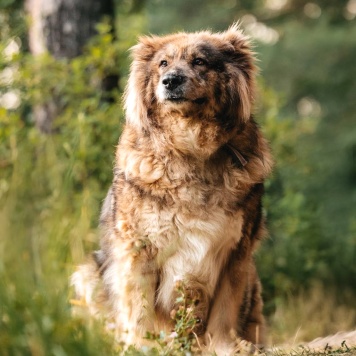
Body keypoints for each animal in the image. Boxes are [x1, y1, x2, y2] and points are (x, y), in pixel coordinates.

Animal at [71, 23, 272, 354]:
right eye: (163, 64)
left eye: (200, 61)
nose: (170, 81)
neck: (190, 146)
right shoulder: (138, 250)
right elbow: (138, 308)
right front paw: (141, 345)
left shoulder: (237, 253)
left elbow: (225, 309)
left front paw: (225, 346)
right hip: (88, 271)